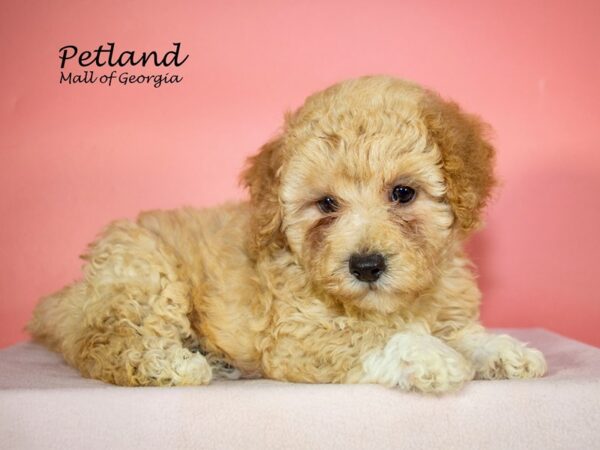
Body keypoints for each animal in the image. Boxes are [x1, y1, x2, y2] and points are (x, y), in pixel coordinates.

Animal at [28, 77, 548, 394]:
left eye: (403, 193)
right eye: (327, 204)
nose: (366, 266)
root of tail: (69, 297)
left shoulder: (446, 308)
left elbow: (465, 334)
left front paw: (507, 352)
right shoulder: (299, 337)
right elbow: (379, 337)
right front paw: (434, 358)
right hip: (145, 277)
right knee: (106, 341)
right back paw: (176, 364)